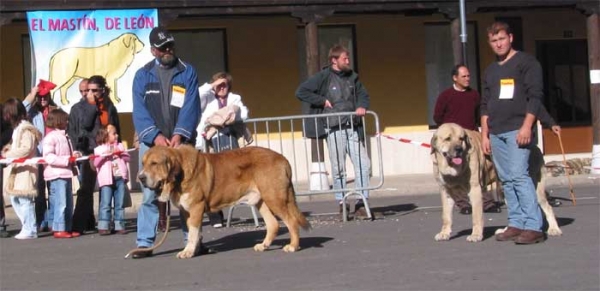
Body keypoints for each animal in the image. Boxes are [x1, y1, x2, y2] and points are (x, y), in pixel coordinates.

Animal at [139, 146, 312, 260]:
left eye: (154, 163)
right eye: (143, 163)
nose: (140, 177)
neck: (180, 172)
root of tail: (282, 158)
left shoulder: (196, 208)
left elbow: (193, 232)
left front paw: (188, 251)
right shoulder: (186, 211)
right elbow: (193, 232)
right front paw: (195, 249)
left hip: (275, 198)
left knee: (291, 222)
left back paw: (293, 246)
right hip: (261, 200)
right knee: (273, 224)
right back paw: (263, 245)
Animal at [432, 123, 564, 244]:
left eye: (461, 139)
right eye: (448, 139)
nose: (459, 149)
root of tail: (535, 146)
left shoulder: (475, 190)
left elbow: (476, 216)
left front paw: (476, 235)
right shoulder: (446, 192)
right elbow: (446, 216)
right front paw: (444, 233)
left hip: (533, 188)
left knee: (547, 207)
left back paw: (553, 229)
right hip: (505, 190)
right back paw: (507, 231)